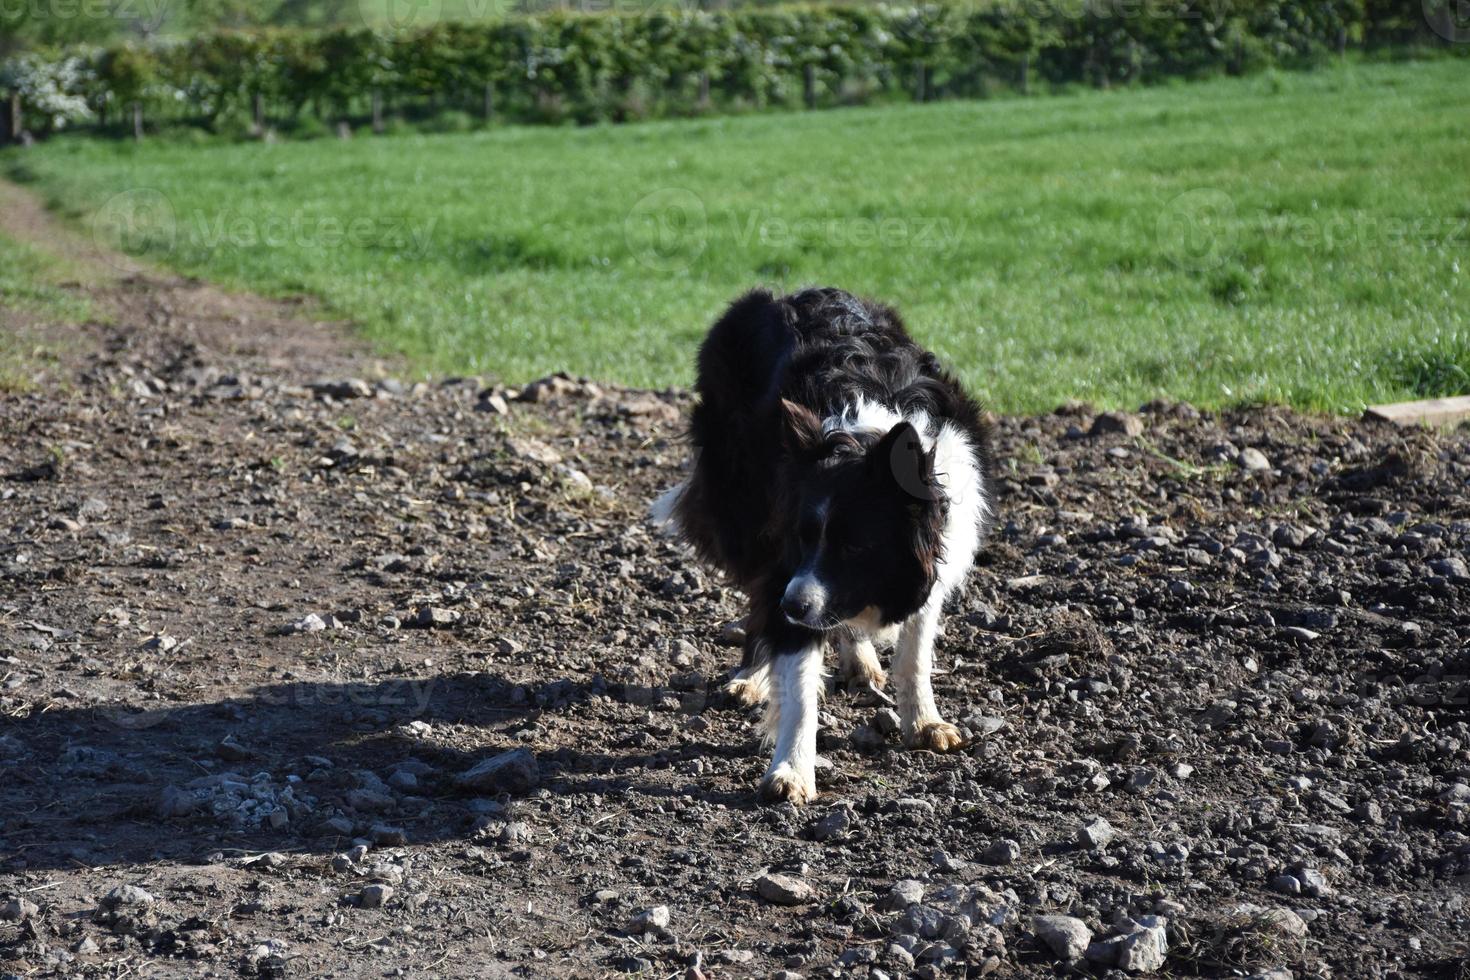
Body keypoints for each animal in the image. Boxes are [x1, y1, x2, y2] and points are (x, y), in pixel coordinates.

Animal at [649, 285, 993, 805]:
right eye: (803, 537)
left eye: (853, 548)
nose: (791, 607)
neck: (864, 437)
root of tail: (784, 293)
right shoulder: (785, 557)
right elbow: (799, 684)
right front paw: (791, 771)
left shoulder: (930, 556)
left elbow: (914, 654)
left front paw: (924, 723)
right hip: (740, 498)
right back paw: (752, 674)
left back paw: (859, 659)